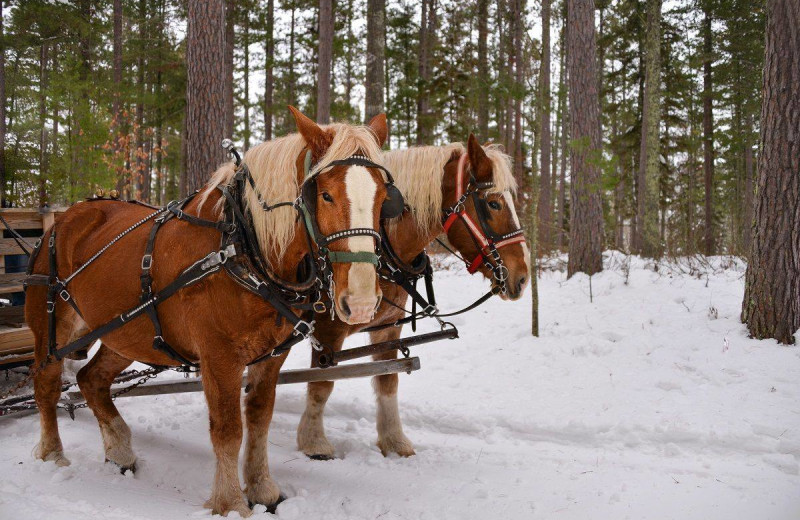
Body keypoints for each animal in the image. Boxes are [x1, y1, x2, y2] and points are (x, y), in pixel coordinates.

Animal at [28, 106, 394, 516]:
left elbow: (259, 418)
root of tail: (63, 218)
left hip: (124, 332)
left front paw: (263, 489)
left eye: (383, 197)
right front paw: (230, 502)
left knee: (91, 379)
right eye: (326, 195)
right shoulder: (219, 357)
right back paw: (53, 453)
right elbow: (228, 429)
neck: (242, 246)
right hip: (53, 327)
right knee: (46, 383)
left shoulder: (272, 355)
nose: (360, 301)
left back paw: (119, 448)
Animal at [296, 135, 528, 460]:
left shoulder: (388, 329)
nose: (523, 276)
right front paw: (314, 442)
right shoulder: (327, 331)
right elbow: (321, 384)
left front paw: (394, 441)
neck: (382, 250)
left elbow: (388, 380)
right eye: (493, 203)